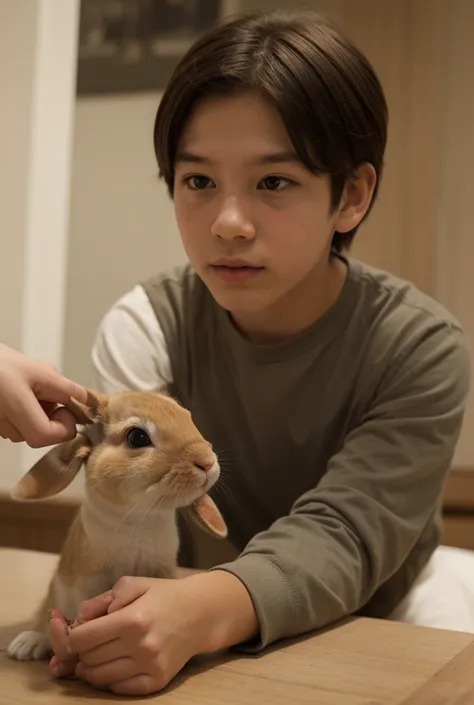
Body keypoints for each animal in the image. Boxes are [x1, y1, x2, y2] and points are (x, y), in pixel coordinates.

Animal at [5, 388, 228, 664]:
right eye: (137, 437)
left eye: (187, 417)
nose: (207, 462)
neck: (139, 517)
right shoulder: (89, 580)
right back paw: (28, 643)